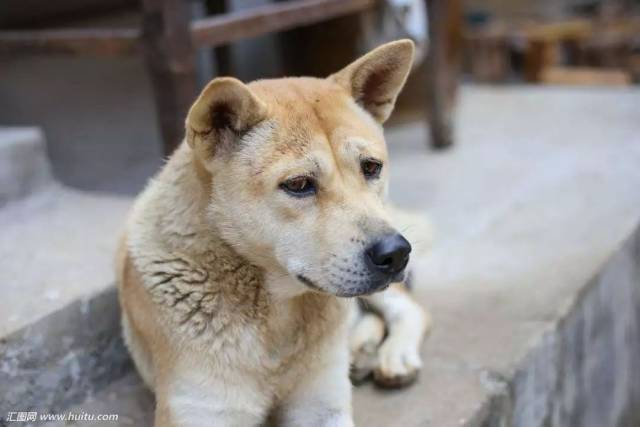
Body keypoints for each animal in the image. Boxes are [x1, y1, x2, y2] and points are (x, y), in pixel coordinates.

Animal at [117, 38, 432, 426]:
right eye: (298, 184)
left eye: (371, 167)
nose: (396, 253)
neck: (276, 311)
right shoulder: (201, 411)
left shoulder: (323, 408)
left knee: (409, 309)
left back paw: (393, 354)